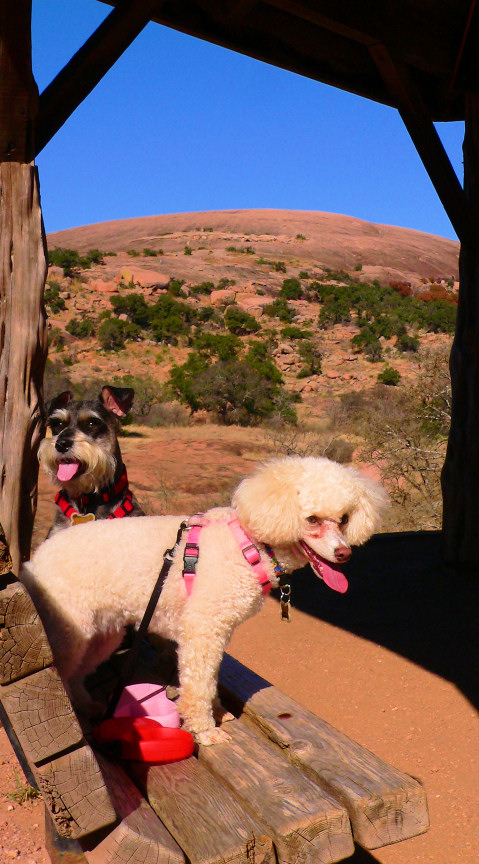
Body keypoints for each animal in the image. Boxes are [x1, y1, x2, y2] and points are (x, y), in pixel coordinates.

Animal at [21, 456, 387, 745]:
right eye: (311, 519)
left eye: (344, 518)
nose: (344, 554)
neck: (248, 544)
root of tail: (34, 561)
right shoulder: (203, 630)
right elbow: (199, 684)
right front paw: (204, 730)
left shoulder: (219, 631)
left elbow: (210, 681)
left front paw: (217, 712)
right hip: (69, 630)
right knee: (63, 672)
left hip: (102, 635)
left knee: (77, 673)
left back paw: (88, 705)